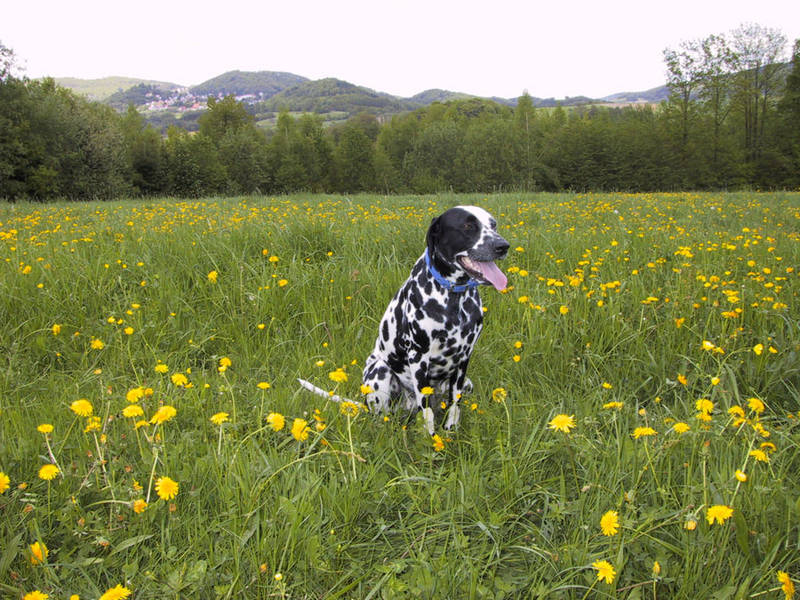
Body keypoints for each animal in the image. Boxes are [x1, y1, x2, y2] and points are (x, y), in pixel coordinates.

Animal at [296, 209, 510, 434]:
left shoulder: (463, 359)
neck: (454, 299)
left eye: (493, 225)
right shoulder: (419, 358)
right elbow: (427, 412)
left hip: (467, 383)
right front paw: (432, 438)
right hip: (380, 371)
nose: (502, 246)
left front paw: (449, 433)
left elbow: (454, 406)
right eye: (468, 226)